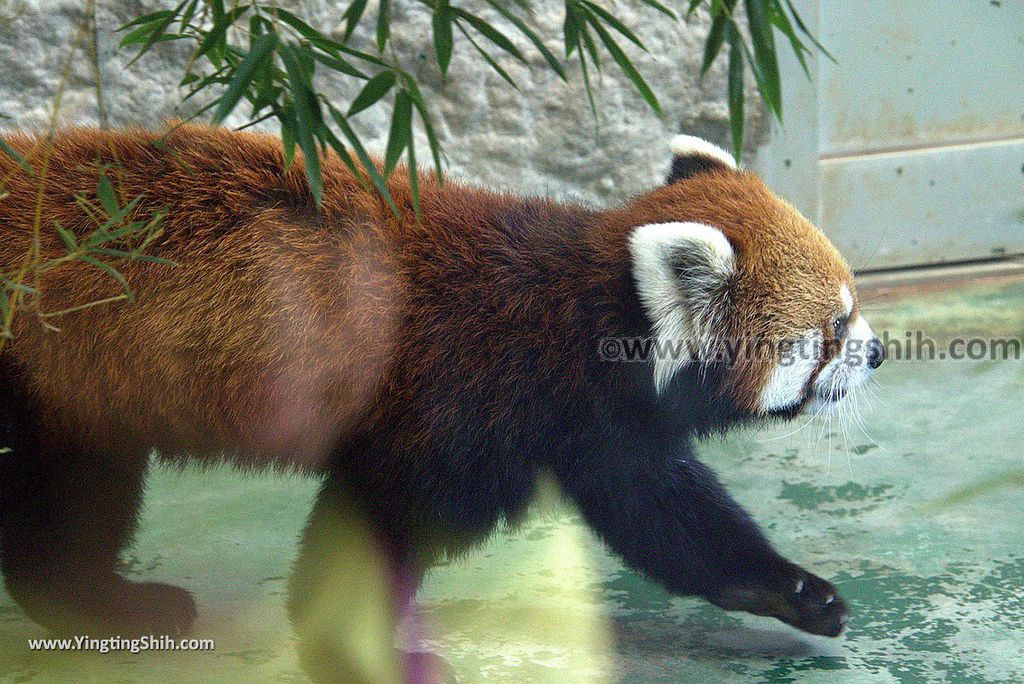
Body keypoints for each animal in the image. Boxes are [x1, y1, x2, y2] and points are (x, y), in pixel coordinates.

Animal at [0, 125, 880, 679]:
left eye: (853, 300)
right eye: (831, 329)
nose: (874, 351)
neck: (580, 318)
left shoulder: (599, 428)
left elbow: (668, 520)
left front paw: (792, 592)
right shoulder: (459, 407)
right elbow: (378, 524)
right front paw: (353, 651)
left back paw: (90, 605)